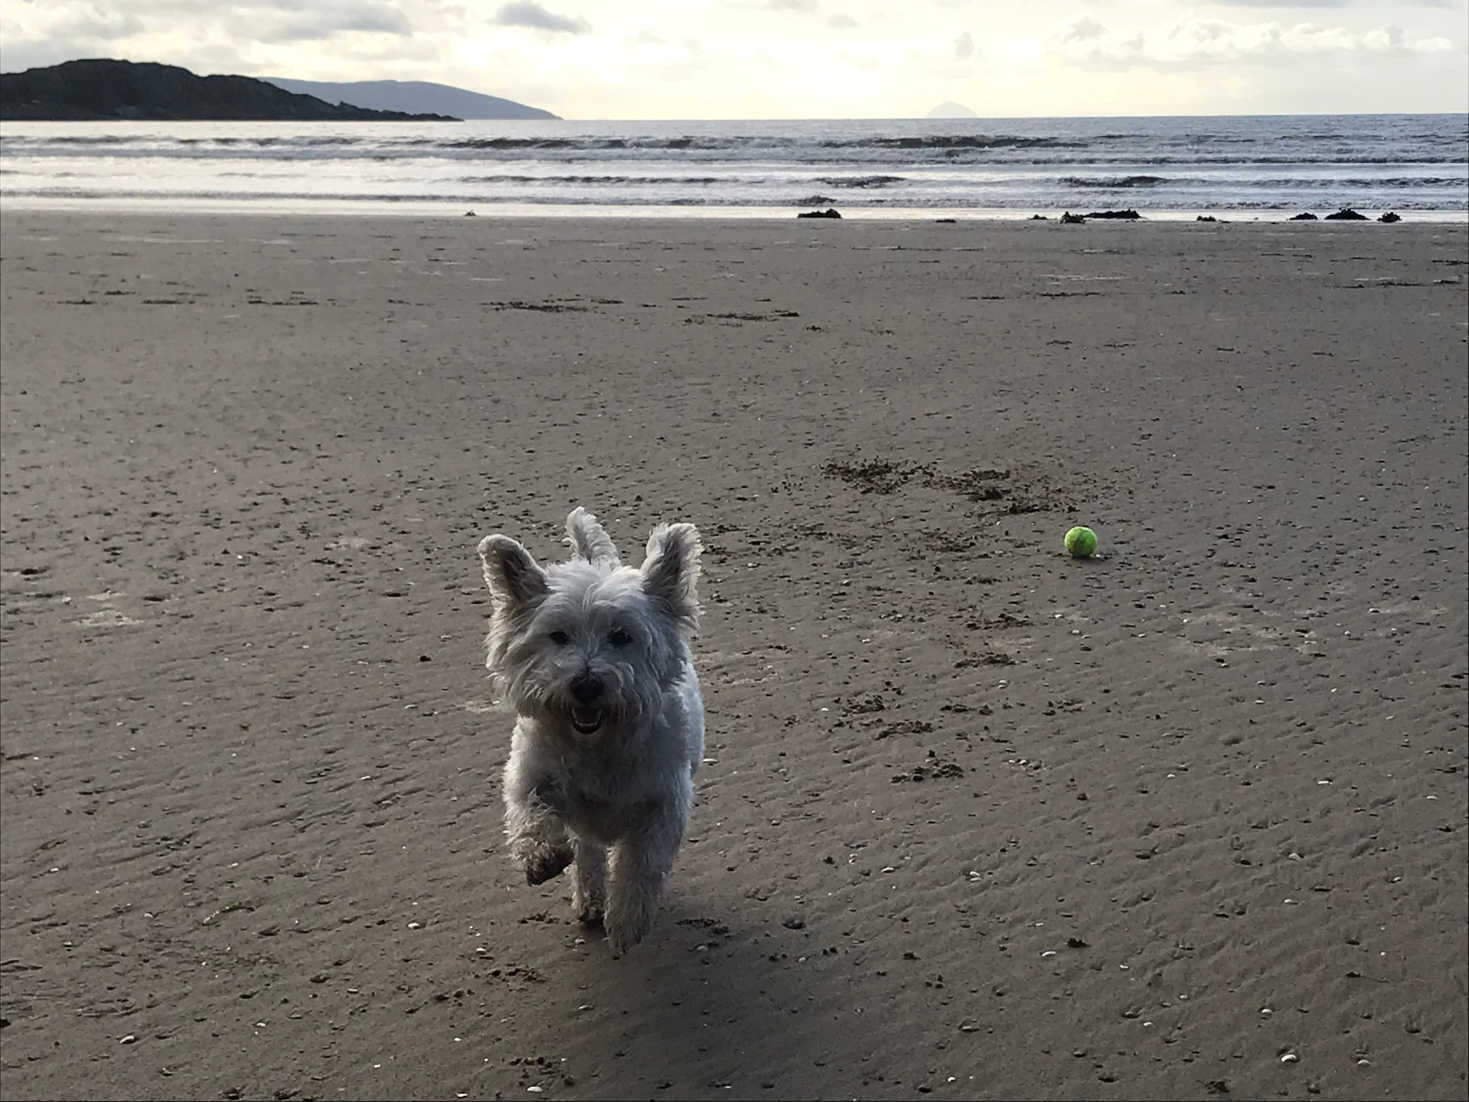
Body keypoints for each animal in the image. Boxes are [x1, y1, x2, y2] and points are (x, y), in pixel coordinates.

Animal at [475, 514, 705, 952]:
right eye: (558, 635)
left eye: (621, 635)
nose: (586, 685)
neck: (598, 743)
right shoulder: (533, 772)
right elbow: (529, 810)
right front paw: (542, 856)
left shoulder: (663, 802)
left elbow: (641, 863)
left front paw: (628, 920)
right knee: (588, 852)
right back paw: (589, 898)